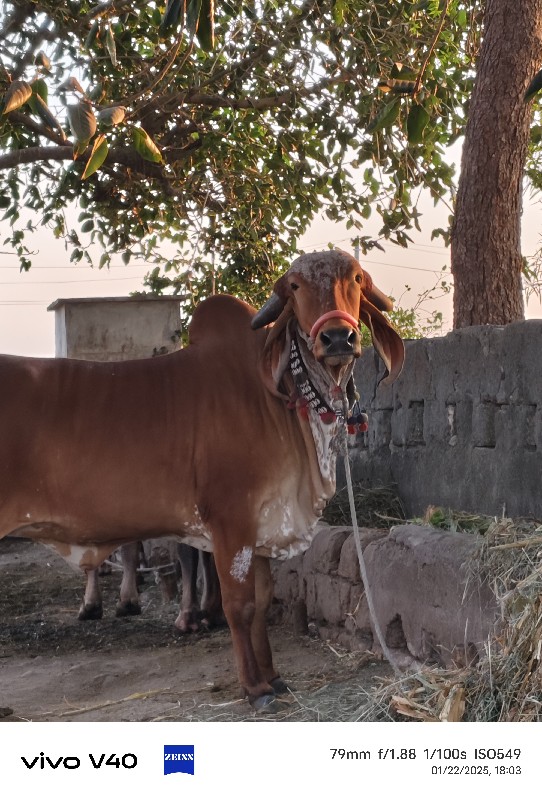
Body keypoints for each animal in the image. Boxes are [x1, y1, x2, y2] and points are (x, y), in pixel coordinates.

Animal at [0, 248, 404, 708]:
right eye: (295, 286)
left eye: (355, 278)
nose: (338, 338)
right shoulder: (232, 522)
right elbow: (239, 606)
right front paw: (255, 688)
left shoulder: (261, 526)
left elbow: (262, 602)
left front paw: (274, 676)